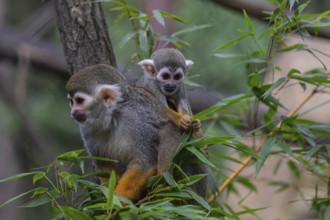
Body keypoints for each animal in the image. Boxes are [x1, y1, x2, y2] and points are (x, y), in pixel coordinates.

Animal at [65, 64, 182, 203]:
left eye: (79, 100)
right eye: (72, 102)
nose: (73, 111)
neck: (112, 117)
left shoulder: (135, 120)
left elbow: (143, 164)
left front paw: (114, 203)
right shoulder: (86, 129)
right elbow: (105, 166)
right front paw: (108, 197)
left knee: (169, 128)